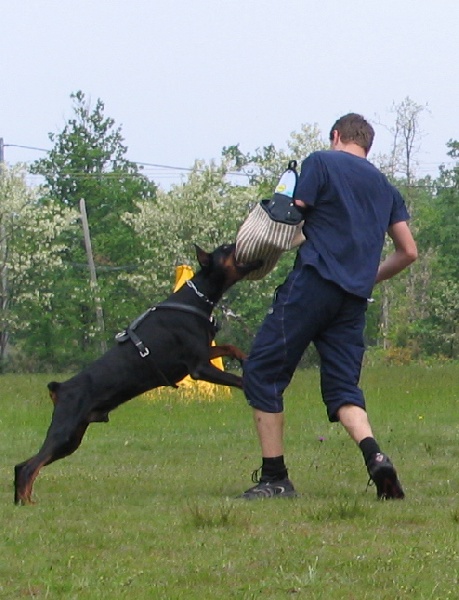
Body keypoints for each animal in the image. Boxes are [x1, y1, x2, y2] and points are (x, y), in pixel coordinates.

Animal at [14, 244, 262, 506]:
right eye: (226, 248)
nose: (237, 242)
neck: (197, 298)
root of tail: (60, 388)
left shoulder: (202, 353)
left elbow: (229, 347)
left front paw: (244, 358)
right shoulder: (198, 367)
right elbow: (235, 378)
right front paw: (248, 381)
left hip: (72, 439)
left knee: (22, 465)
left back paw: (22, 502)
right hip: (65, 430)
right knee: (30, 466)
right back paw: (28, 503)